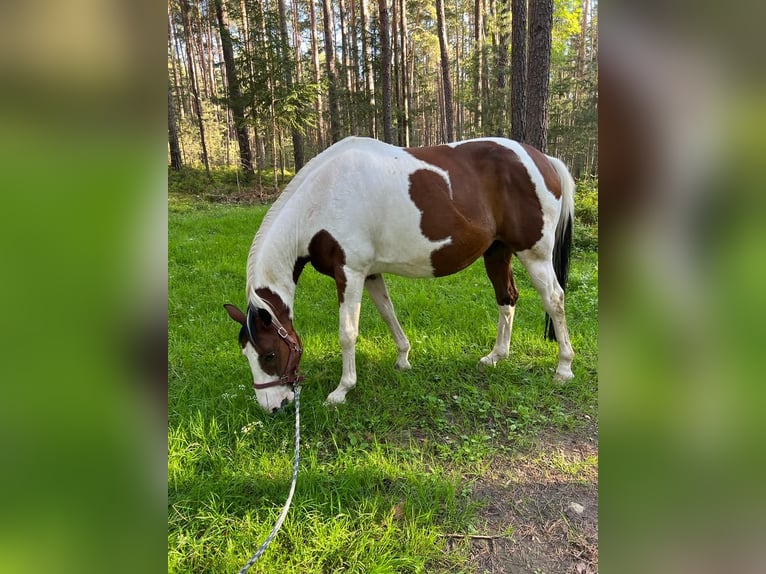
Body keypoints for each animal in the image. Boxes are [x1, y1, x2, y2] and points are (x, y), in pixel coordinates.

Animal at [224, 136, 575, 413]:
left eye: (270, 354)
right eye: (246, 353)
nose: (272, 407)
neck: (322, 199)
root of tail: (544, 160)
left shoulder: (349, 273)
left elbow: (347, 333)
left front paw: (342, 390)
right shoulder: (370, 274)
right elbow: (388, 313)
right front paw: (403, 359)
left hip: (534, 253)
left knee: (554, 299)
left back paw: (563, 368)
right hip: (498, 252)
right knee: (507, 298)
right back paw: (496, 356)